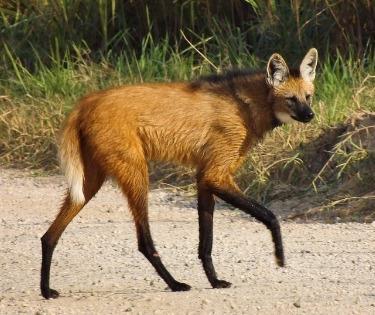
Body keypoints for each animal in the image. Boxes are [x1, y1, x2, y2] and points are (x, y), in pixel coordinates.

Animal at [41, 47, 318, 298]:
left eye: (308, 96)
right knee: (143, 242)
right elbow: (270, 216)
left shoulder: (205, 178)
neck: (246, 105)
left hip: (90, 182)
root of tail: (85, 103)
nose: (310, 115)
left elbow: (206, 243)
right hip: (137, 174)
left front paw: (215, 281)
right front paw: (280, 257)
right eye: (291, 99)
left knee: (49, 236)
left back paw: (46, 290)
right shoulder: (215, 175)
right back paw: (175, 284)